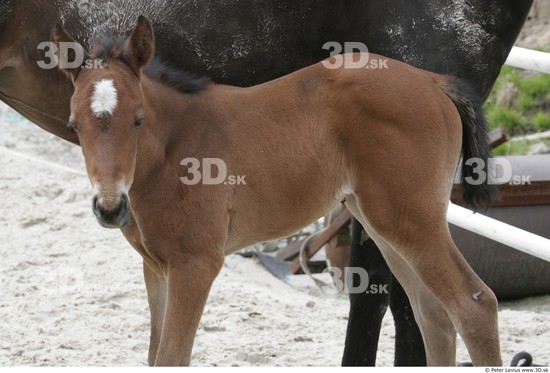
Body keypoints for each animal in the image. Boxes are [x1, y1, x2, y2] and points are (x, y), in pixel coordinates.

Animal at [0, 0, 536, 366]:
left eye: (137, 119)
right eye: (74, 123)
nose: (110, 209)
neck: (173, 148)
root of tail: (433, 81)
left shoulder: (197, 263)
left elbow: (173, 357)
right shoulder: (157, 267)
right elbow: (155, 356)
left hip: (409, 218)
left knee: (473, 305)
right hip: (384, 219)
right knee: (434, 316)